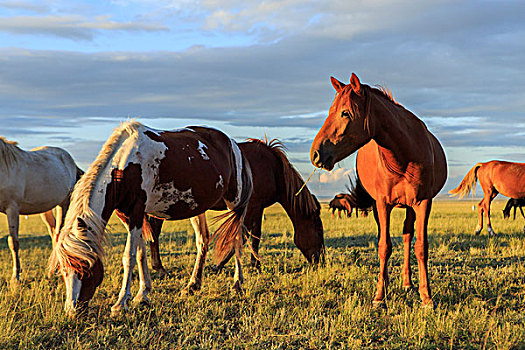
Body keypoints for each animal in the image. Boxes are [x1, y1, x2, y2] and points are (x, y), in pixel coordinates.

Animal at [0, 135, 82, 286]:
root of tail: (70, 161)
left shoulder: (12, 208)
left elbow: (13, 242)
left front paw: (15, 278)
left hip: (64, 203)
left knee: (58, 233)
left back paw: (54, 271)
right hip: (46, 209)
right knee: (53, 232)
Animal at [48, 121, 252, 316]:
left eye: (85, 269)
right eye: (63, 270)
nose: (72, 311)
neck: (125, 167)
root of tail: (232, 143)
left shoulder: (136, 213)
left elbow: (128, 256)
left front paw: (120, 304)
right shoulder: (129, 217)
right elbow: (140, 253)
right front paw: (143, 294)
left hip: (235, 203)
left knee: (237, 239)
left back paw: (237, 283)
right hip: (198, 208)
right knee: (203, 240)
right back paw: (193, 285)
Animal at [146, 138, 324, 292]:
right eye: (319, 231)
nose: (321, 261)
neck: (273, 170)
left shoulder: (256, 208)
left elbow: (253, 236)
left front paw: (253, 265)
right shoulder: (253, 206)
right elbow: (246, 236)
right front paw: (223, 265)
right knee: (154, 230)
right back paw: (159, 268)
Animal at [310, 72, 448, 308]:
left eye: (345, 112)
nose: (315, 154)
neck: (403, 157)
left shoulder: (423, 203)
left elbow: (421, 247)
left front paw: (427, 297)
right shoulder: (383, 204)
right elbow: (384, 246)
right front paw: (379, 297)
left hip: (410, 207)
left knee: (407, 236)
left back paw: (407, 283)